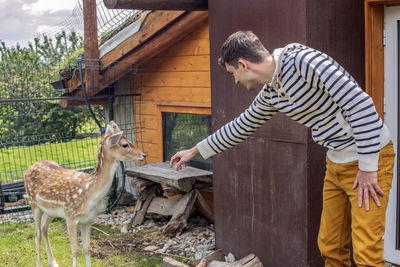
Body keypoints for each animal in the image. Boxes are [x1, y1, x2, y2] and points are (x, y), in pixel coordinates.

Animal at [24, 122, 145, 267]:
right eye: (125, 144)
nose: (143, 154)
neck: (90, 193)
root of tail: (28, 169)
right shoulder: (70, 216)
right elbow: (75, 251)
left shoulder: (88, 219)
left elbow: (87, 249)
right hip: (33, 203)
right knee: (37, 234)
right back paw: (40, 264)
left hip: (50, 210)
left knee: (44, 227)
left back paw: (53, 262)